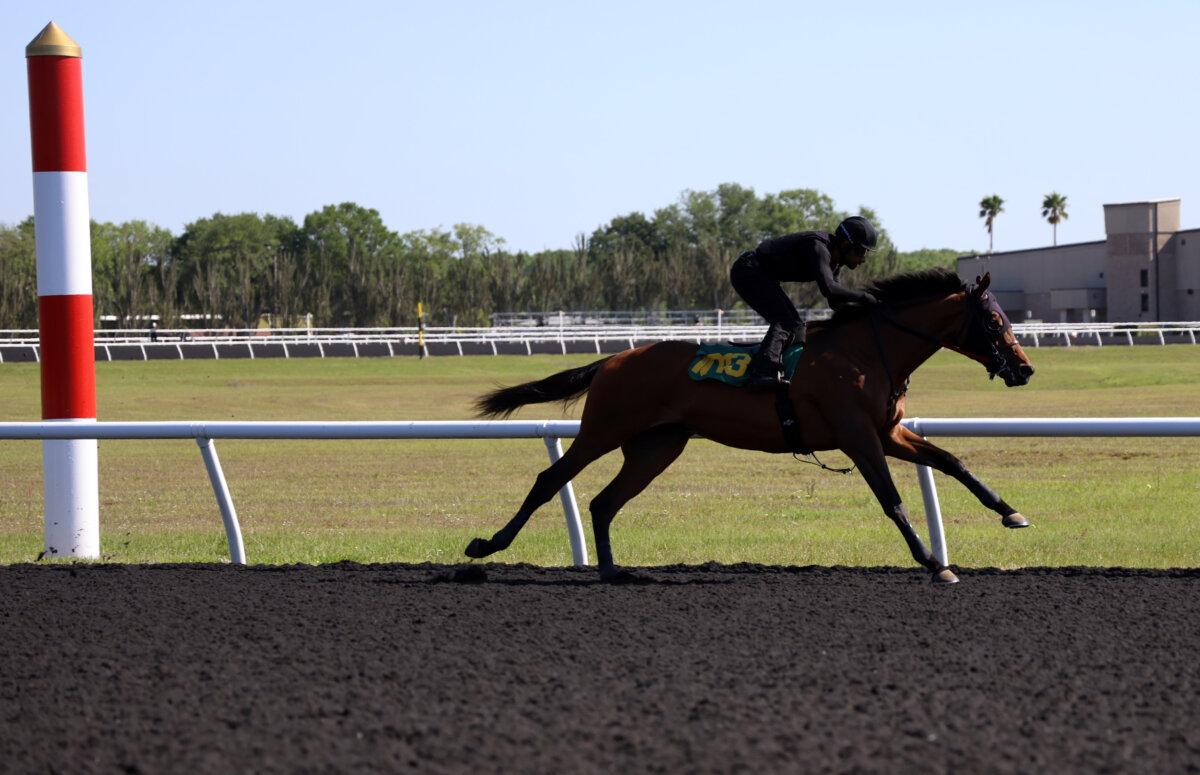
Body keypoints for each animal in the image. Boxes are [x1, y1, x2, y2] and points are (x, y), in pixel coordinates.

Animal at [465, 268, 1035, 584]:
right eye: (994, 320)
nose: (1025, 369)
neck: (865, 352)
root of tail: (612, 360)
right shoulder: (857, 436)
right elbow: (891, 499)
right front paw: (934, 562)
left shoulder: (889, 433)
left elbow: (952, 461)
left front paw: (1011, 513)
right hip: (604, 431)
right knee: (550, 481)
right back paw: (486, 546)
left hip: (656, 446)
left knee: (605, 502)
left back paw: (611, 571)